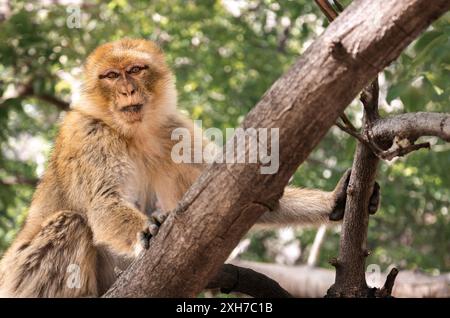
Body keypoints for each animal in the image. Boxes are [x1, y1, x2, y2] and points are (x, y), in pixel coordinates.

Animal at [0, 39, 380, 298]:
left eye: (135, 70)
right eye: (110, 76)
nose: (126, 89)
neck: (134, 134)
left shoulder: (174, 130)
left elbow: (240, 196)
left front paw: (336, 201)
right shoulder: (90, 134)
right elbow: (102, 202)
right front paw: (148, 231)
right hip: (19, 279)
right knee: (72, 222)